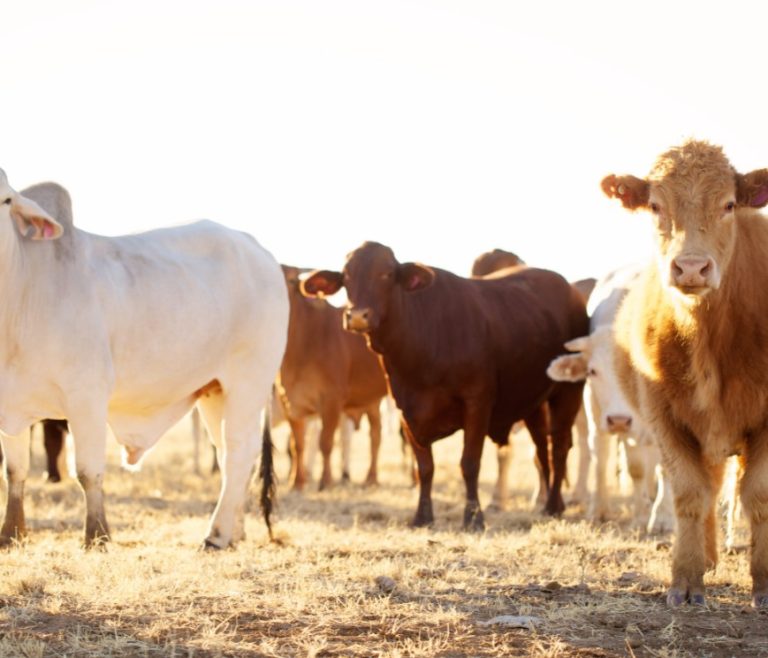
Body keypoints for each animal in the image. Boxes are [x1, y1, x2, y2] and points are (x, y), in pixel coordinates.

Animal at [0, 170, 288, 548]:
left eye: (5, 200)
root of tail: (259, 250)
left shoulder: (87, 397)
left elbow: (88, 472)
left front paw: (98, 536)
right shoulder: (10, 406)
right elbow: (15, 472)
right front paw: (10, 534)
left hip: (248, 382)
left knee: (240, 451)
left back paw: (216, 535)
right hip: (214, 391)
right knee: (230, 457)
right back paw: (234, 531)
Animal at [278, 266, 390, 486]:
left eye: (292, 280)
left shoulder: (332, 400)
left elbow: (326, 442)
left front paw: (326, 480)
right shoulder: (290, 402)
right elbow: (297, 445)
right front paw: (297, 482)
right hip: (372, 400)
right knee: (376, 435)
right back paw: (370, 478)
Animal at [302, 241, 588, 528]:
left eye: (386, 274)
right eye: (346, 275)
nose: (358, 316)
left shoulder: (477, 403)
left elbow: (469, 463)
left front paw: (473, 518)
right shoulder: (406, 410)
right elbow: (425, 468)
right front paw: (422, 516)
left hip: (568, 392)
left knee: (559, 446)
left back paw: (553, 505)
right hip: (533, 404)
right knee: (542, 448)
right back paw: (549, 503)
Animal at [608, 138, 768, 604]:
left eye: (729, 204)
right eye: (655, 206)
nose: (692, 267)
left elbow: (757, 495)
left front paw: (764, 582)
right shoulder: (665, 418)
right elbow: (690, 495)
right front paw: (686, 579)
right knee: (711, 487)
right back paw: (709, 558)